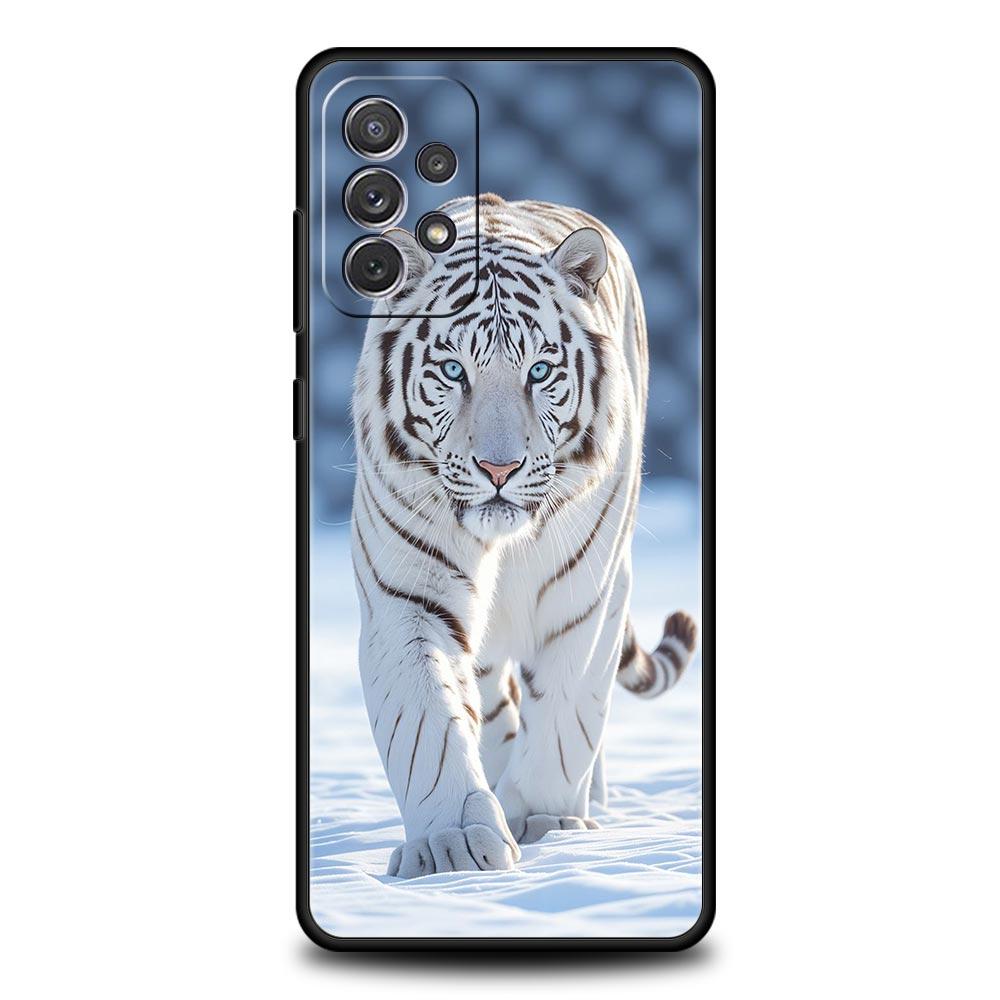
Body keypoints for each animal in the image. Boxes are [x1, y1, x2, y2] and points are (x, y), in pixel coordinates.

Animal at [350, 194, 698, 879]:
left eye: (539, 370)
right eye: (452, 370)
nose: (499, 469)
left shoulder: (586, 597)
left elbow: (566, 716)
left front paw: (546, 822)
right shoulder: (408, 600)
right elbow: (428, 726)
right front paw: (452, 845)